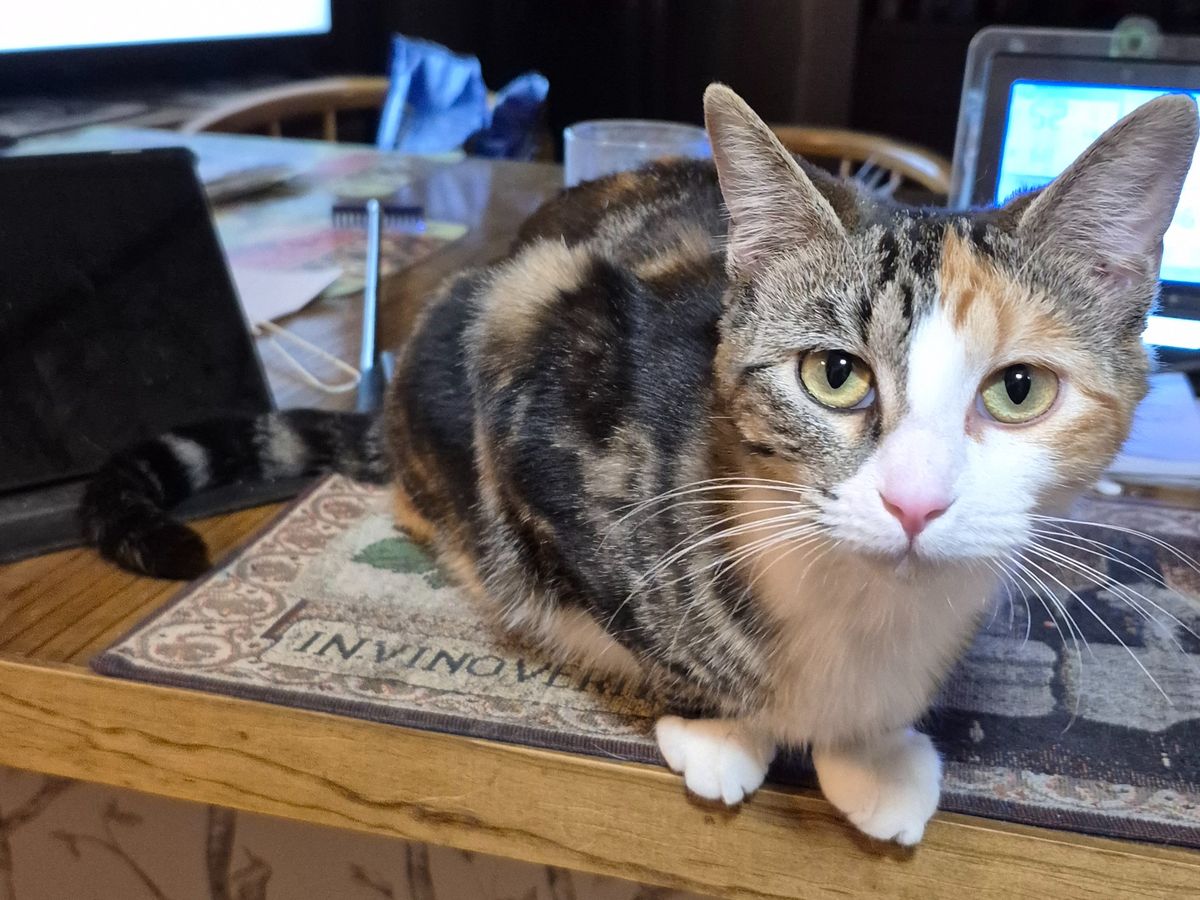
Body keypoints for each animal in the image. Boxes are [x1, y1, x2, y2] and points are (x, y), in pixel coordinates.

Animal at [81, 85, 1198, 845]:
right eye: (834, 374)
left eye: (1019, 390)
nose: (914, 503)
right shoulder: (536, 388)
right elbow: (642, 621)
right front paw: (733, 732)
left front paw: (871, 755)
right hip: (475, 325)